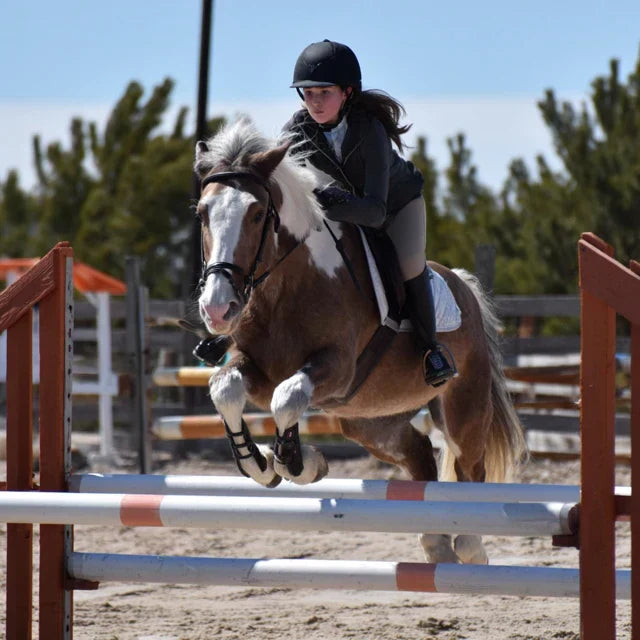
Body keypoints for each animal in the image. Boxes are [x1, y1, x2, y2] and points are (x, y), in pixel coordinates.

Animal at [193, 118, 526, 564]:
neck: (288, 285)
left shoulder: (336, 368)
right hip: (370, 421)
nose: (217, 309)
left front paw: (298, 462)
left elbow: (288, 397)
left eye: (257, 213)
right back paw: (436, 542)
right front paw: (263, 463)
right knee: (419, 456)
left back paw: (468, 544)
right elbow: (227, 388)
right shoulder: (256, 367)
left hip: (463, 408)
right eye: (202, 214)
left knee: (470, 467)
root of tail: (463, 284)